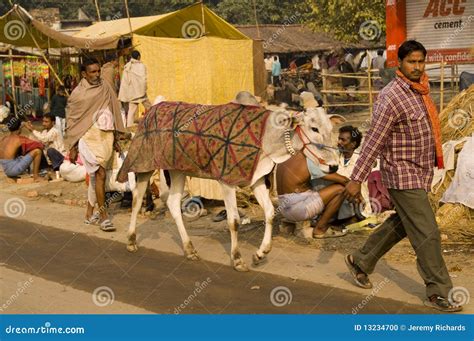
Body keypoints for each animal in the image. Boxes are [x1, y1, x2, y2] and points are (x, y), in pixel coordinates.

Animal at [125, 92, 340, 270]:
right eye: (313, 128)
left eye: (331, 129)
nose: (334, 166)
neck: (266, 139)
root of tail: (154, 106)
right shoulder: (226, 181)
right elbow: (234, 220)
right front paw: (237, 259)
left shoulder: (257, 180)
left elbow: (270, 213)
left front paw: (260, 253)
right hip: (144, 165)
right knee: (136, 199)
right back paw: (131, 240)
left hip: (178, 171)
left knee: (173, 202)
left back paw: (189, 249)